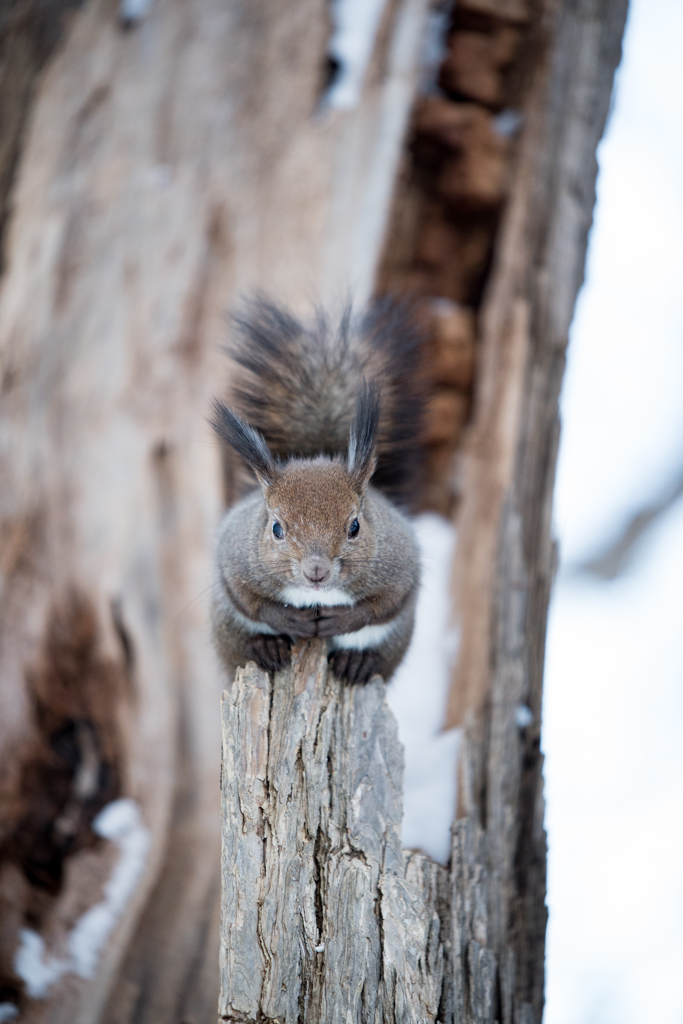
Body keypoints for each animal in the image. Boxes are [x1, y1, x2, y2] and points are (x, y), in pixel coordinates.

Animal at [209, 296, 421, 688]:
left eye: (355, 527)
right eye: (276, 528)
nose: (316, 571)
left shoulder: (401, 565)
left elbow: (382, 605)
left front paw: (345, 619)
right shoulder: (234, 559)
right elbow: (251, 601)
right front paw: (289, 619)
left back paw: (358, 663)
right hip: (225, 626)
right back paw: (265, 648)